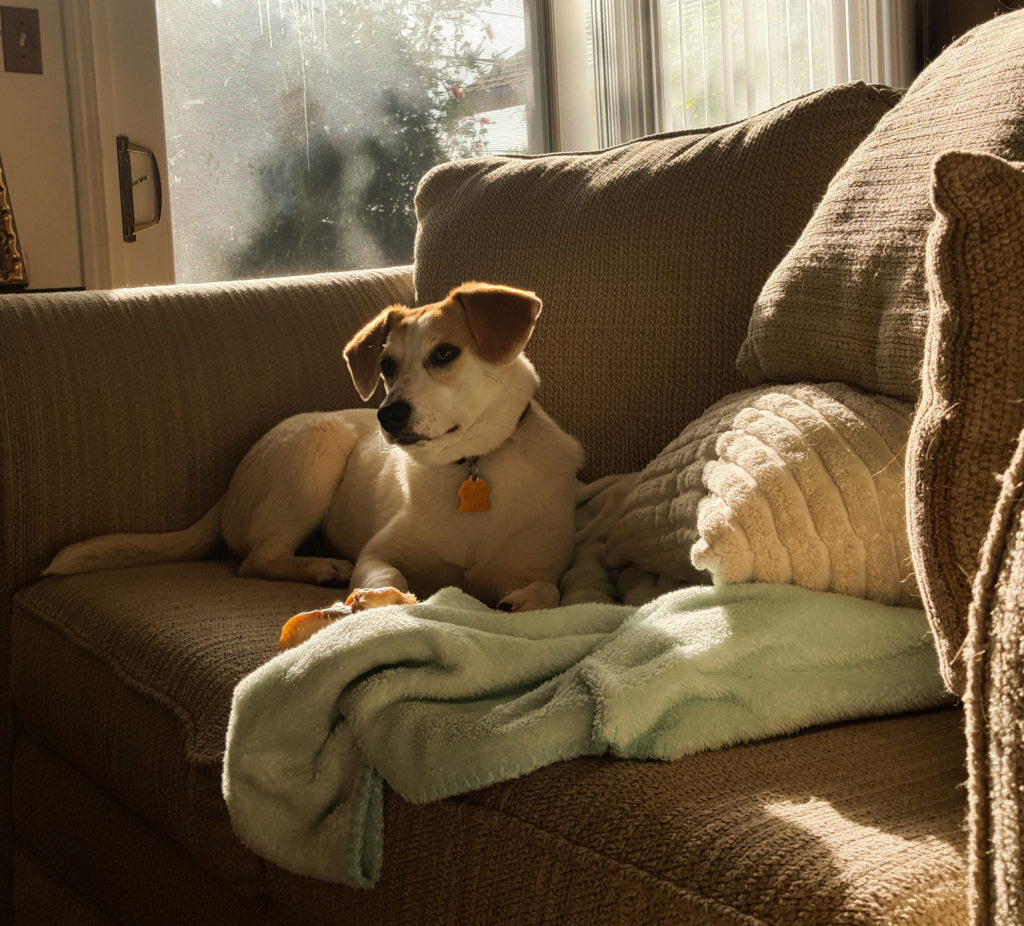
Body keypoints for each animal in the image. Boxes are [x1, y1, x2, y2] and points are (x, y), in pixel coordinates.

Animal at [41, 282, 585, 643]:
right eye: (386, 365)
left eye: (446, 353)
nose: (388, 414)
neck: (468, 467)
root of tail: (229, 491)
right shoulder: (378, 552)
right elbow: (386, 579)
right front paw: (371, 602)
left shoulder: (542, 563)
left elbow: (552, 590)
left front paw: (525, 601)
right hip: (318, 449)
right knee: (258, 559)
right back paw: (322, 565)